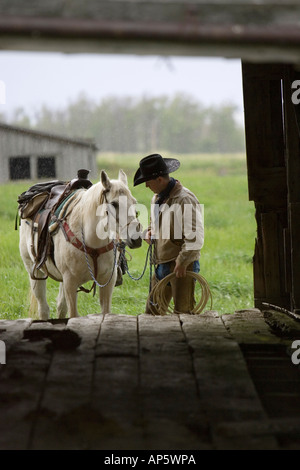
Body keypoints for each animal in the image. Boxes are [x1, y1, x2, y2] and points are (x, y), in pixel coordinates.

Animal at [19, 169, 142, 320]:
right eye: (114, 203)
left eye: (134, 202)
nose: (136, 239)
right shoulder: (70, 283)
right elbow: (73, 314)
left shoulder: (107, 281)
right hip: (34, 271)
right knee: (43, 308)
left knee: (61, 307)